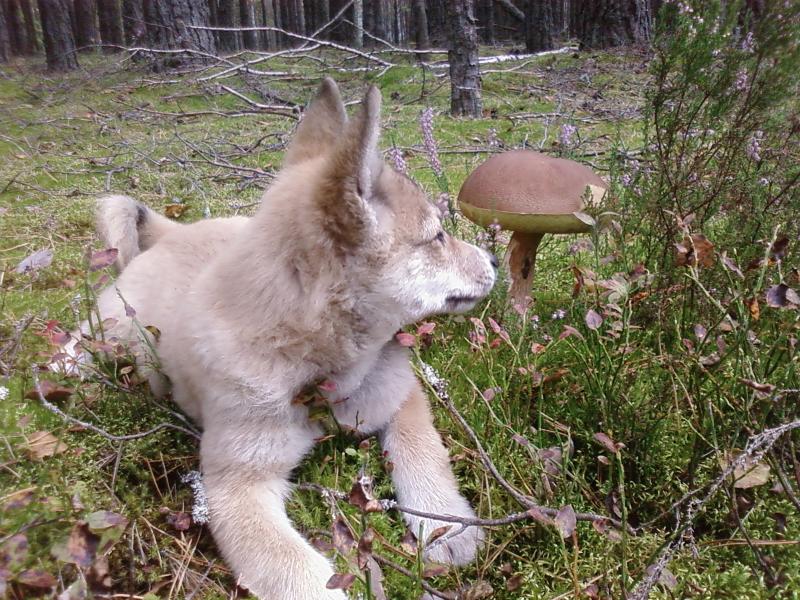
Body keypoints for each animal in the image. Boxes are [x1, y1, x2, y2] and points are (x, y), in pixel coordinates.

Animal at [72, 79, 497, 599]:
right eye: (437, 237)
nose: (494, 259)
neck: (318, 373)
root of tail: (173, 234)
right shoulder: (236, 487)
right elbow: (301, 574)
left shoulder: (401, 397)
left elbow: (423, 453)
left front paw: (447, 526)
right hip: (105, 330)